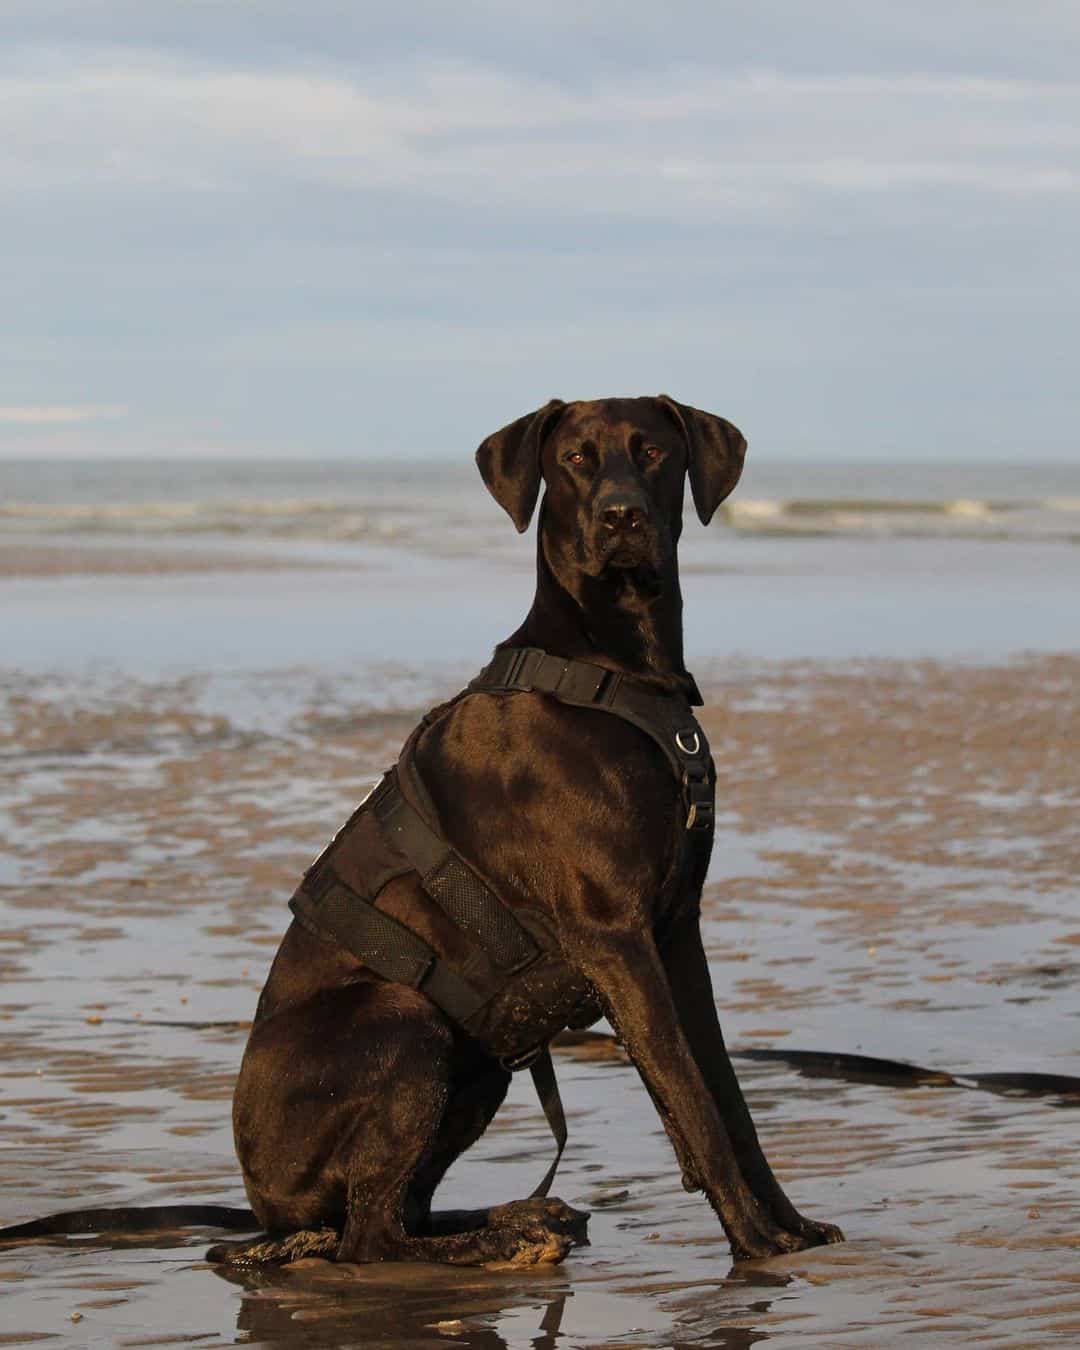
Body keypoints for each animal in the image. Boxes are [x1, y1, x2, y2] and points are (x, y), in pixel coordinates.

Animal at [217, 396, 842, 1263]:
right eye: (575, 458)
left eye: (654, 451)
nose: (621, 516)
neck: (613, 669)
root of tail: (262, 1208)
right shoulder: (616, 937)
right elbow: (690, 1096)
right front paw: (751, 1243)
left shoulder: (678, 930)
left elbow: (726, 1093)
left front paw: (788, 1224)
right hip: (404, 1021)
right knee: (372, 1237)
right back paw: (499, 1240)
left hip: (481, 1068)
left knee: (402, 1210)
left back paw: (521, 1219)